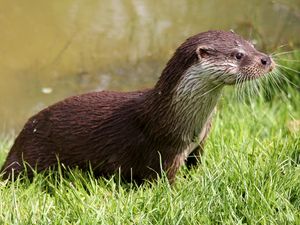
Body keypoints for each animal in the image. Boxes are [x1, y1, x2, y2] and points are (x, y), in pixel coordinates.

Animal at [0, 30, 274, 182]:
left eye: (252, 44)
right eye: (238, 55)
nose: (266, 60)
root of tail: (17, 142)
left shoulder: (199, 145)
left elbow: (197, 164)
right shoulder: (166, 152)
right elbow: (165, 181)